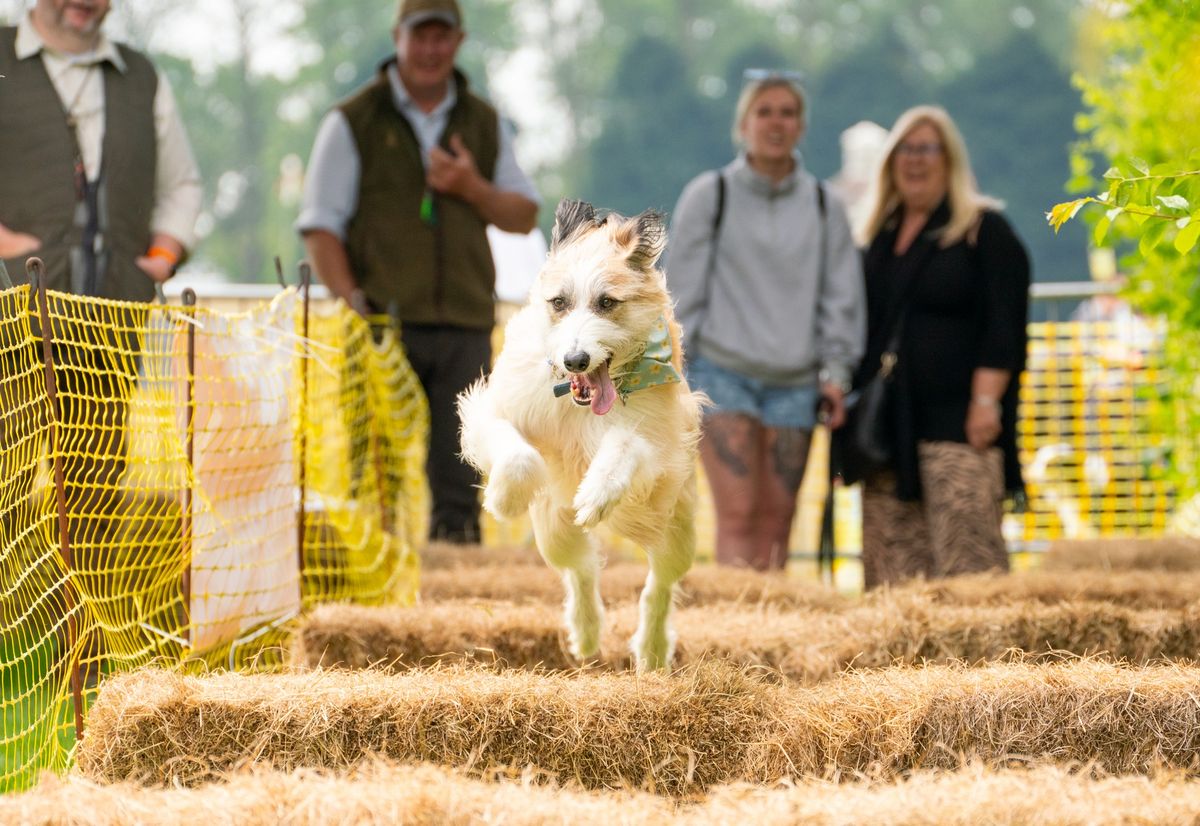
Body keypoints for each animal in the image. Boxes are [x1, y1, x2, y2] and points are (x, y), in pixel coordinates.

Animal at [456, 200, 700, 672]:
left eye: (607, 303)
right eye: (559, 302)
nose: (575, 359)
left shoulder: (658, 447)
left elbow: (626, 445)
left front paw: (597, 493)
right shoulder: (499, 408)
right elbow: (515, 452)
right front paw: (504, 499)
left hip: (674, 527)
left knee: (658, 586)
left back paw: (651, 649)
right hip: (554, 528)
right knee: (581, 569)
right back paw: (586, 633)